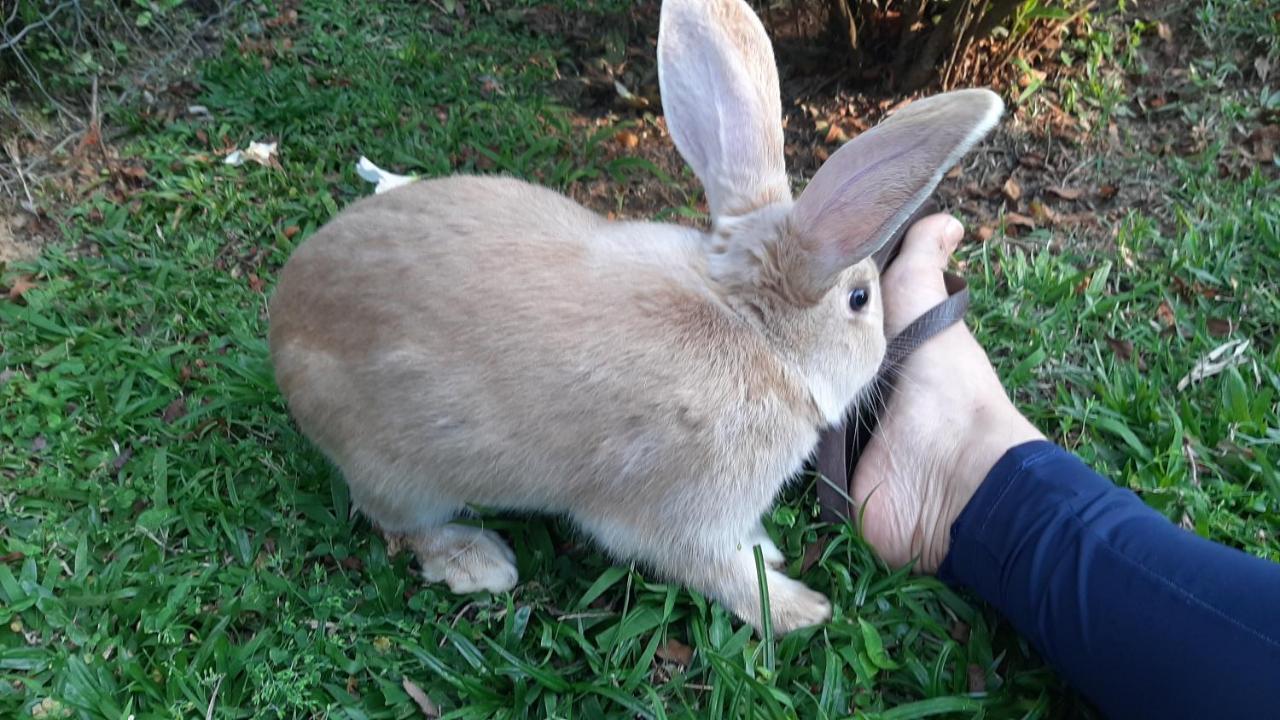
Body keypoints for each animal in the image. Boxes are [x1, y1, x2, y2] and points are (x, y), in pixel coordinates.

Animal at [270, 0, 1003, 630]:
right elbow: (718, 571)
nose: (884, 354)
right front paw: (799, 610)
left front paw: (769, 554)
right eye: (859, 300)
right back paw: (478, 562)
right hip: (402, 474)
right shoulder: (683, 513)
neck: (757, 335)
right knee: (398, 524)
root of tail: (282, 324)